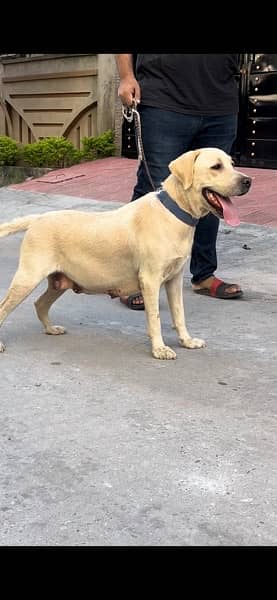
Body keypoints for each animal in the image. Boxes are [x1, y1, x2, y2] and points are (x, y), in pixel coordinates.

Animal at [0, 148, 250, 358]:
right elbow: (155, 317)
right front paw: (159, 349)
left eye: (232, 163)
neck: (174, 212)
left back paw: (51, 329)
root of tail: (36, 219)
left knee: (39, 304)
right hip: (27, 278)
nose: (248, 181)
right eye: (216, 166)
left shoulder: (174, 279)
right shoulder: (150, 280)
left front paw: (187, 341)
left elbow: (179, 314)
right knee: (4, 308)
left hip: (58, 282)